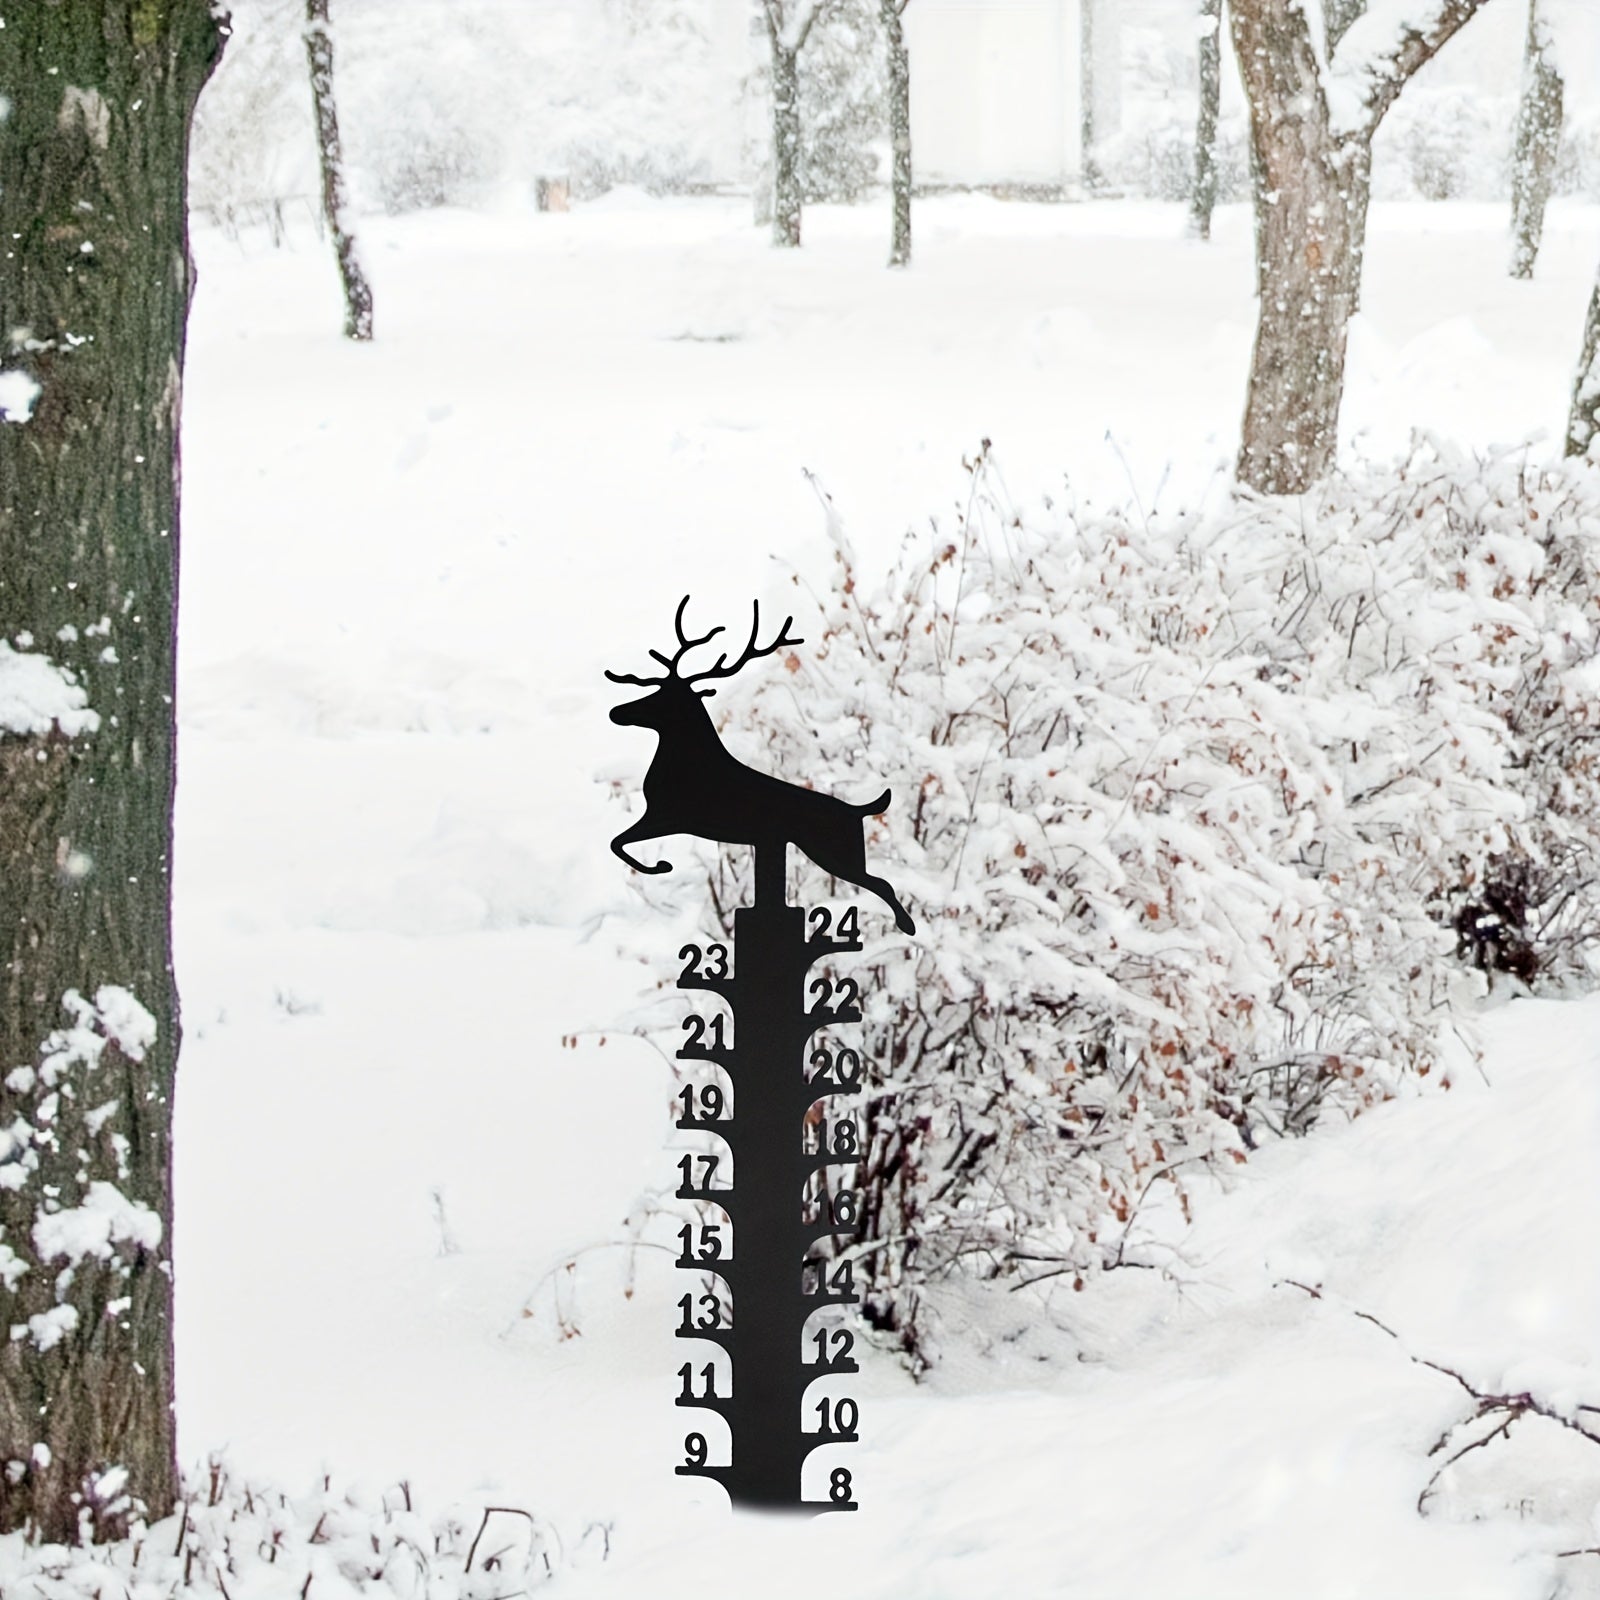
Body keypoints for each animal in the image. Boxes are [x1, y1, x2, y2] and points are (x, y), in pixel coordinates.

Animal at [606, 596, 916, 936]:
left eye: (665, 698)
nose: (616, 712)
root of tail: (858, 810)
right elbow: (619, 842)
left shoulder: (667, 816)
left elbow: (619, 843)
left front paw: (661, 866)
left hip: (836, 853)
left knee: (883, 883)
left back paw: (907, 925)